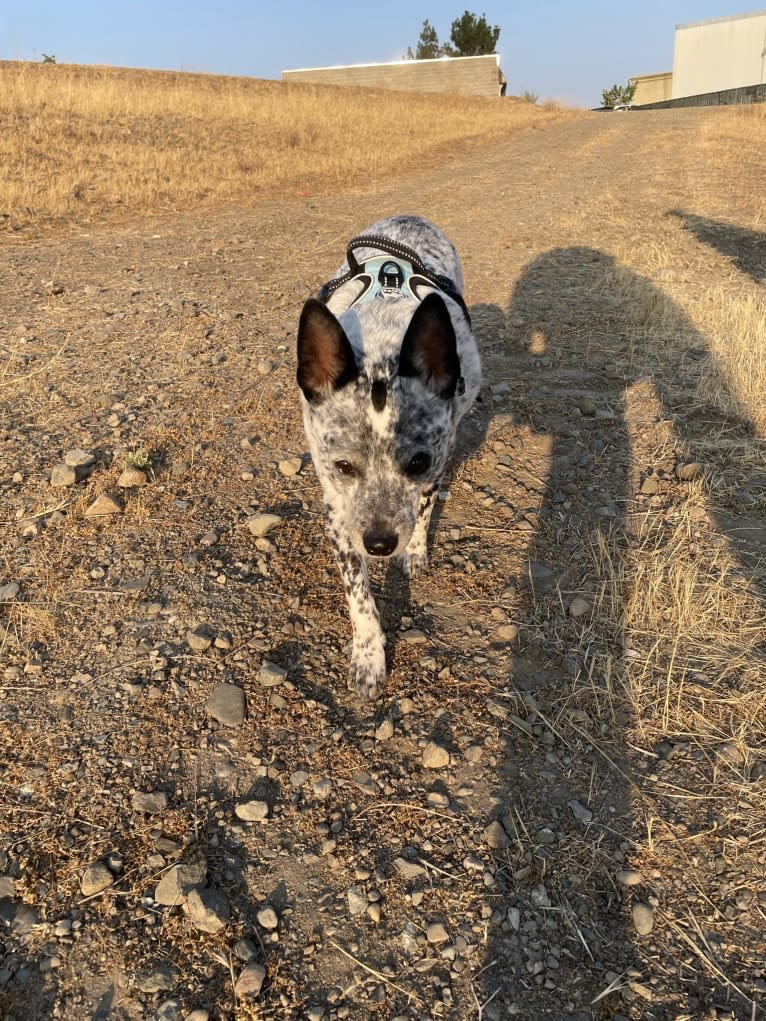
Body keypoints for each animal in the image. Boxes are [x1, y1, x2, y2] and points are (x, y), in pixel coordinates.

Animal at [298, 211, 482, 698]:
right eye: (343, 466)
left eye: (416, 462)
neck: (383, 342)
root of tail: (409, 218)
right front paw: (368, 656)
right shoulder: (339, 515)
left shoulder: (437, 461)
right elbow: (360, 598)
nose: (379, 543)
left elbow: (421, 509)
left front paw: (413, 551)